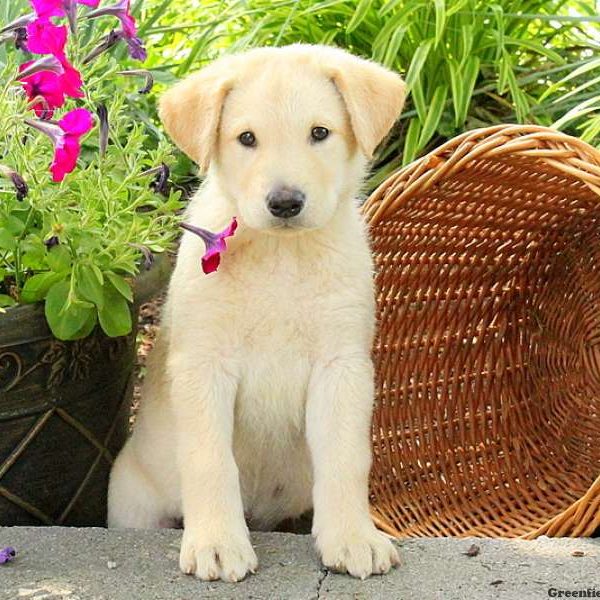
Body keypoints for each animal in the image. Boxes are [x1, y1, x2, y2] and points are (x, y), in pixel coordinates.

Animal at [108, 44, 408, 584]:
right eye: (246, 138)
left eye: (319, 133)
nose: (285, 202)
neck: (281, 257)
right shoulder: (203, 366)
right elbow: (210, 460)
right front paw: (217, 543)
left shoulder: (342, 367)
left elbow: (346, 457)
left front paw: (353, 537)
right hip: (132, 501)